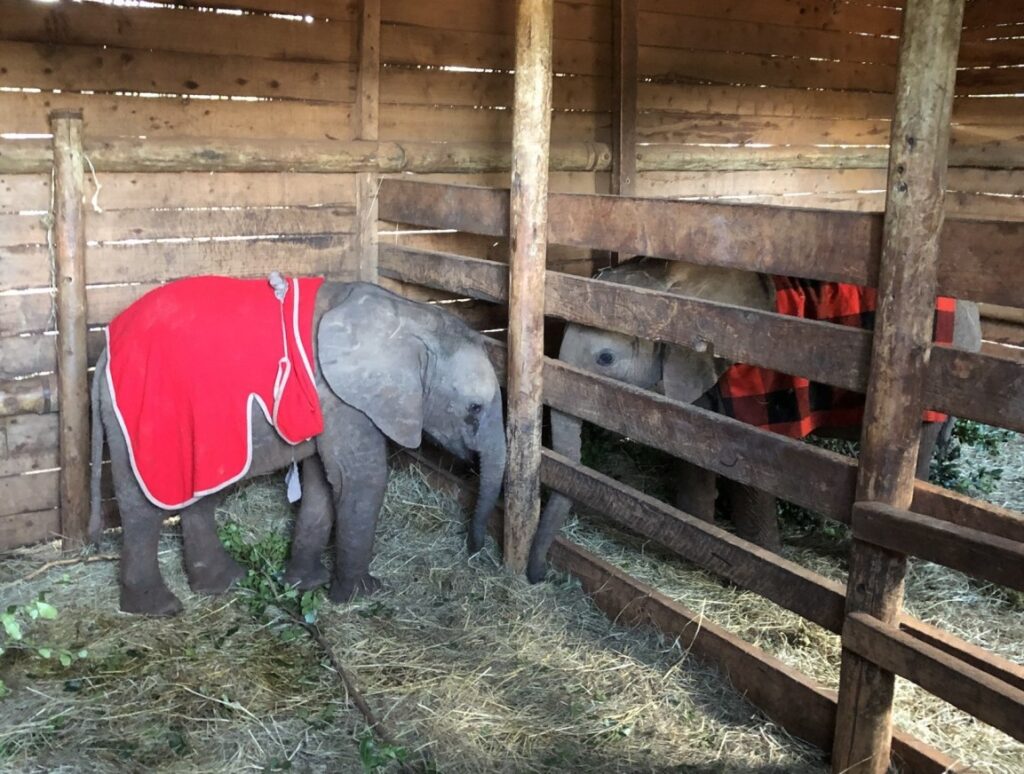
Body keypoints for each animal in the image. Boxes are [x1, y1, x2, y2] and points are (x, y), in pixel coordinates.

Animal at [90, 280, 505, 618]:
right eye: (474, 409)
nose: (475, 550)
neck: (411, 316)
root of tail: (105, 350)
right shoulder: (342, 397)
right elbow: (359, 480)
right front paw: (363, 594)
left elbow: (323, 482)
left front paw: (305, 585)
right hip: (143, 412)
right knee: (142, 503)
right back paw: (157, 608)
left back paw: (224, 583)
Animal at [532, 256, 978, 581]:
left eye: (605, 359)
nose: (539, 576)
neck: (673, 283)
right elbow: (694, 450)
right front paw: (695, 540)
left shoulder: (753, 378)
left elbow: (751, 462)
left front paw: (761, 559)